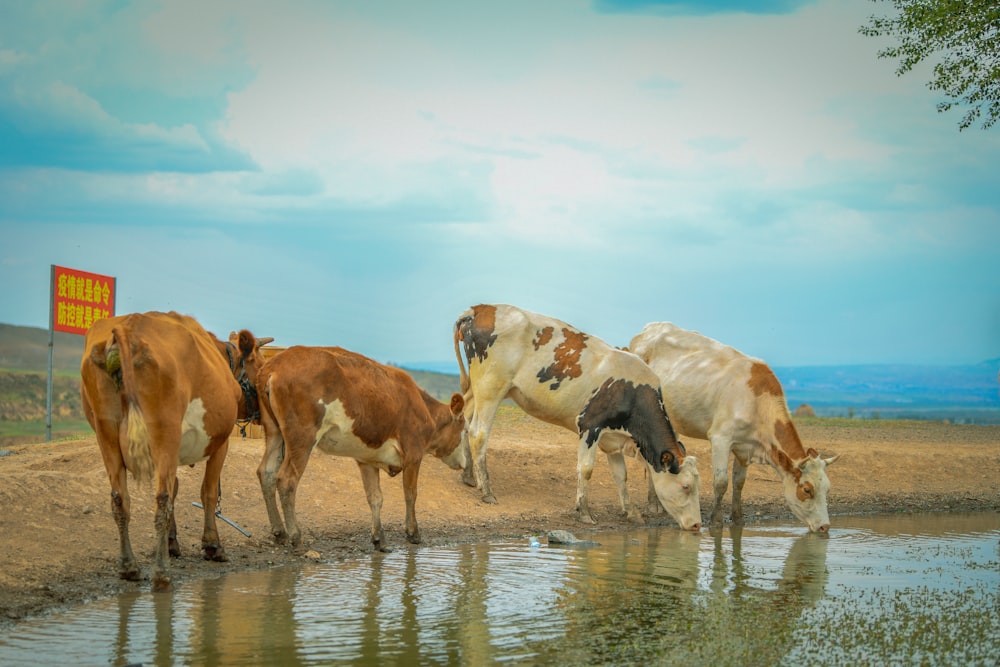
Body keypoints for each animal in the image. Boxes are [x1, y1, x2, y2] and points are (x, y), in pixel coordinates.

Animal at [80, 310, 272, 592]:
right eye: (258, 363)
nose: (261, 406)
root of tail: (129, 326)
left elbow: (176, 489)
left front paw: (172, 543)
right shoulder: (221, 443)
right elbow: (208, 493)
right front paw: (212, 545)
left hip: (107, 433)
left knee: (120, 499)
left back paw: (129, 567)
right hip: (164, 431)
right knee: (160, 500)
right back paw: (161, 574)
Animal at [254, 348, 464, 552]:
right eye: (464, 428)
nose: (464, 462)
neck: (423, 409)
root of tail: (275, 364)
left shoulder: (366, 459)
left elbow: (375, 497)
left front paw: (379, 538)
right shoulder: (413, 453)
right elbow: (410, 494)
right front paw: (413, 532)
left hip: (274, 431)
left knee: (266, 472)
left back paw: (280, 532)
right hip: (302, 436)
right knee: (287, 480)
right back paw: (296, 537)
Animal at [456, 304, 700, 532]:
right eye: (686, 486)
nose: (697, 525)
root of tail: (480, 308)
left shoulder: (612, 440)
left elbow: (621, 476)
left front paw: (631, 512)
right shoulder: (590, 425)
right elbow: (586, 469)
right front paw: (584, 512)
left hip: (479, 388)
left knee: (464, 421)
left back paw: (469, 477)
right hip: (491, 387)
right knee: (479, 433)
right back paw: (487, 491)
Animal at [632, 320, 836, 536]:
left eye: (827, 489)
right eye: (807, 489)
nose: (825, 526)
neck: (757, 403)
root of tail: (652, 328)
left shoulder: (744, 447)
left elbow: (739, 482)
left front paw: (737, 518)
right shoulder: (721, 438)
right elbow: (721, 482)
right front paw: (716, 520)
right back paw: (654, 504)